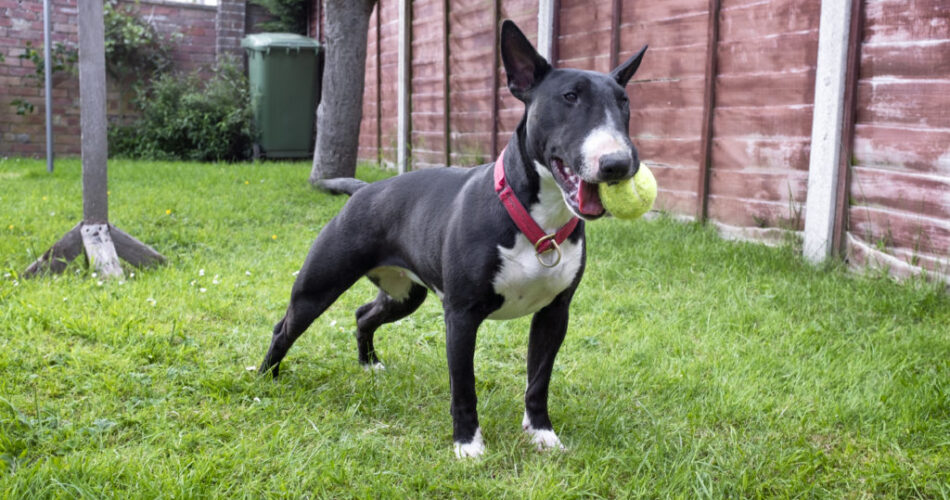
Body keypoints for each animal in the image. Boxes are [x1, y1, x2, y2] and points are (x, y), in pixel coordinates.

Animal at [260, 19, 648, 458]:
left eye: (623, 102)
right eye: (569, 97)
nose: (619, 164)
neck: (537, 218)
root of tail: (364, 189)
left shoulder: (555, 313)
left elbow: (538, 380)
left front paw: (542, 434)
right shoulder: (461, 315)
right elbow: (463, 386)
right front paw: (468, 445)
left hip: (405, 294)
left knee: (363, 314)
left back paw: (369, 364)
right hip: (319, 284)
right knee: (285, 327)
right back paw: (265, 379)